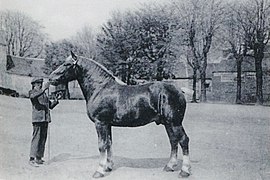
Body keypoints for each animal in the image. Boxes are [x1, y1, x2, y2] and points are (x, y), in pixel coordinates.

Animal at [49, 51, 192, 179]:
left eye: (67, 64)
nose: (50, 78)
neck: (100, 89)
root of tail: (179, 90)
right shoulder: (107, 124)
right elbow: (109, 143)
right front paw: (108, 166)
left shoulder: (100, 123)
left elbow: (102, 145)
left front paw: (99, 171)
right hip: (168, 123)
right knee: (173, 141)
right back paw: (170, 166)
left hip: (175, 123)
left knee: (183, 140)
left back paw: (184, 171)